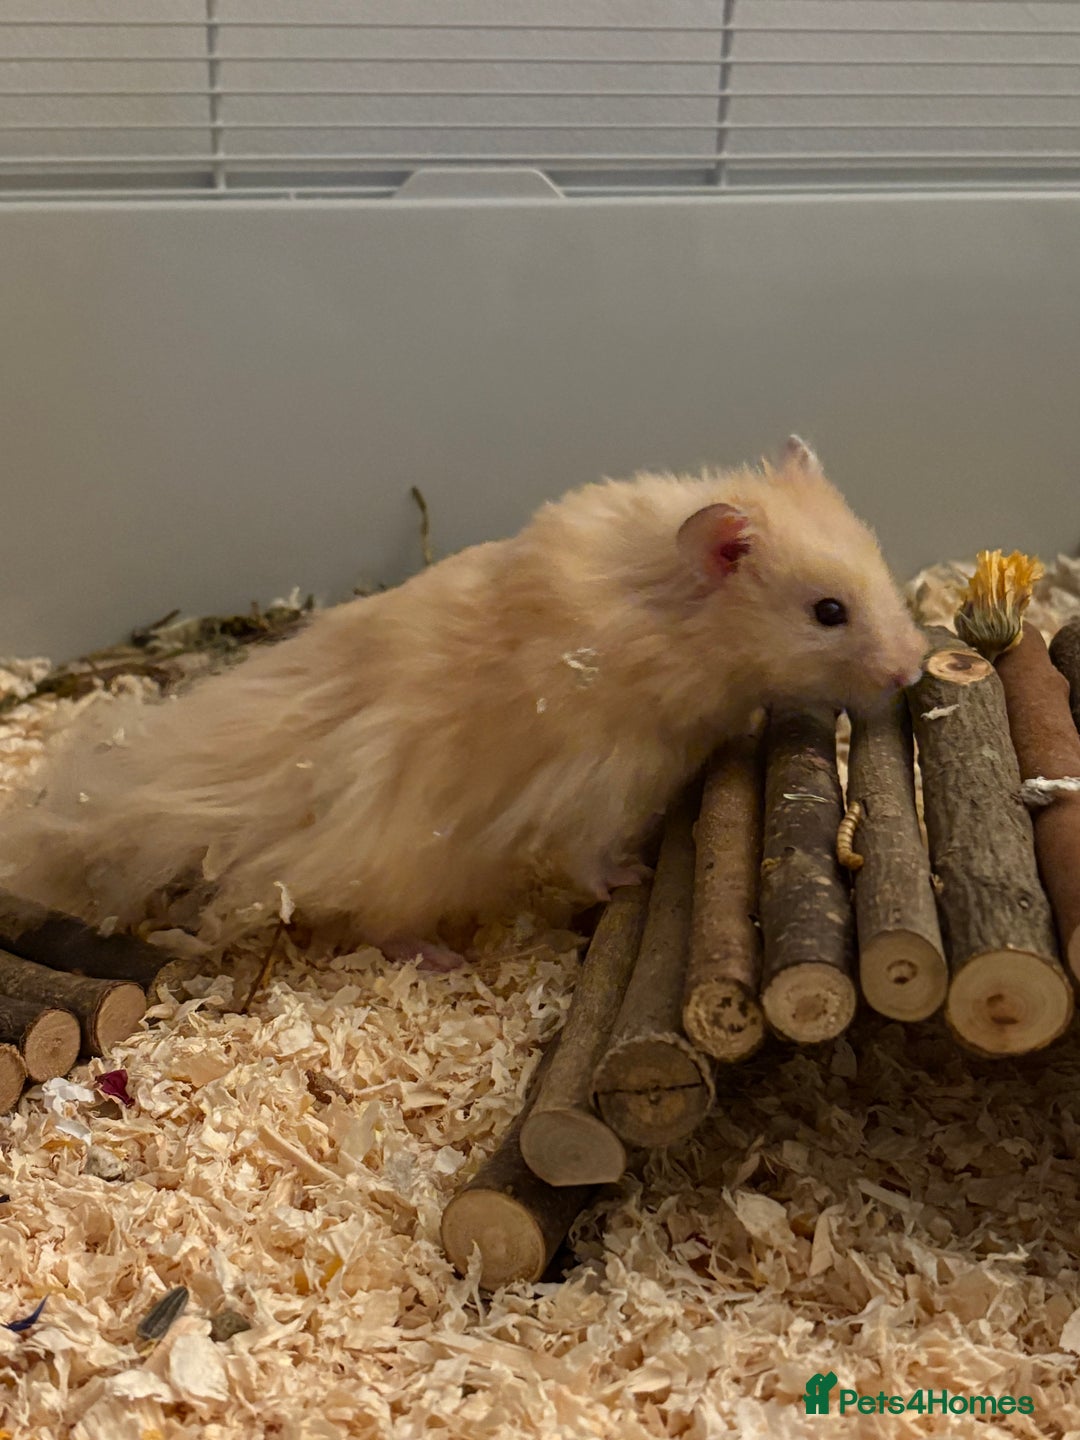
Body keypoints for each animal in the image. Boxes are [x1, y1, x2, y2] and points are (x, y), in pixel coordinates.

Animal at [0, 437, 926, 956]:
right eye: (828, 612)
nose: (913, 670)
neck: (670, 620)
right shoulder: (599, 779)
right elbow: (591, 855)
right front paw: (629, 878)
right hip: (401, 870)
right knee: (376, 929)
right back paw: (442, 956)